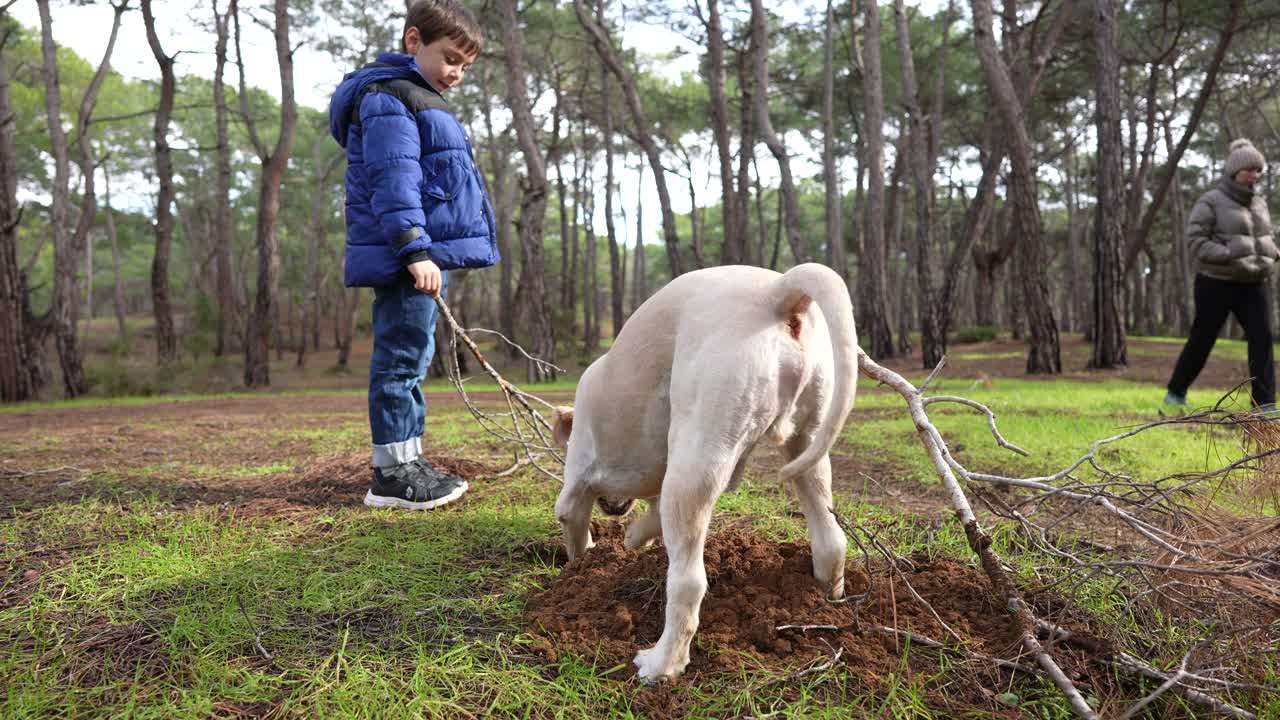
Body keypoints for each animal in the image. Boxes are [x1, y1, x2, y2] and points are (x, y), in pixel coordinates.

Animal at [545, 262, 855, 676]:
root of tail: (776, 293)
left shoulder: (576, 489)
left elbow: (577, 536)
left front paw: (581, 569)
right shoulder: (660, 489)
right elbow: (648, 521)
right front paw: (631, 541)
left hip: (694, 466)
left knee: (689, 583)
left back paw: (660, 664)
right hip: (807, 448)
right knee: (831, 540)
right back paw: (823, 601)